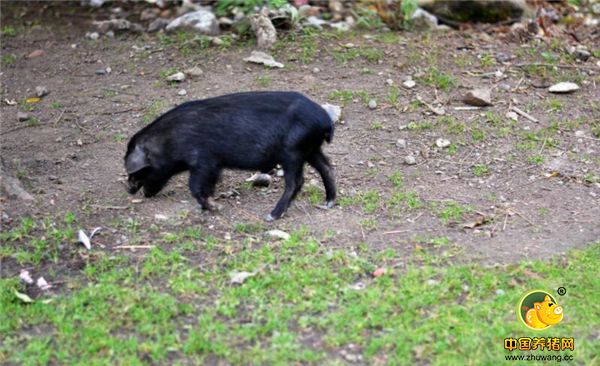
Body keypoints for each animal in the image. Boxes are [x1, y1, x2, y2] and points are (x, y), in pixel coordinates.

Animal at [123, 92, 336, 220]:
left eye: (139, 171)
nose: (129, 190)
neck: (170, 141)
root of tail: (324, 120)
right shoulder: (213, 165)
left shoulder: (204, 161)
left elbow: (195, 186)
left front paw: (213, 207)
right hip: (311, 149)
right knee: (327, 167)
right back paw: (329, 203)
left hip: (293, 152)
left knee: (296, 182)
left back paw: (271, 216)